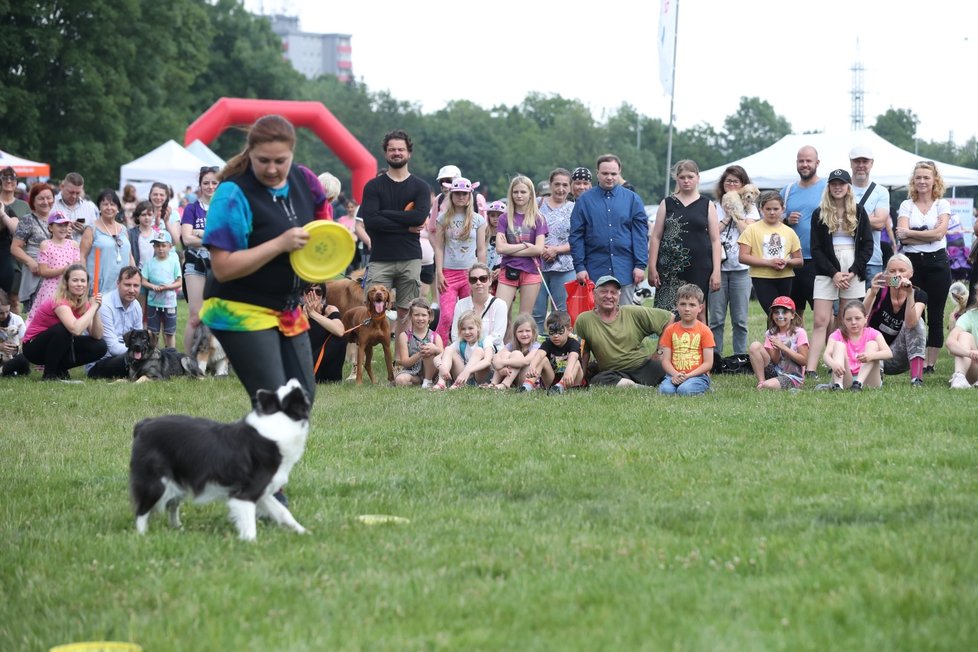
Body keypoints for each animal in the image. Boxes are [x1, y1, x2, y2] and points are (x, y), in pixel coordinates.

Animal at [127, 376, 306, 540]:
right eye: (296, 394)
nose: (294, 379)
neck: (279, 420)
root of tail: (143, 425)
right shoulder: (246, 493)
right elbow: (249, 524)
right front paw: (250, 543)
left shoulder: (262, 491)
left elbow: (283, 512)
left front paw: (302, 531)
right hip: (156, 483)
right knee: (142, 510)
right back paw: (142, 536)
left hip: (178, 480)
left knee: (172, 505)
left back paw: (177, 529)